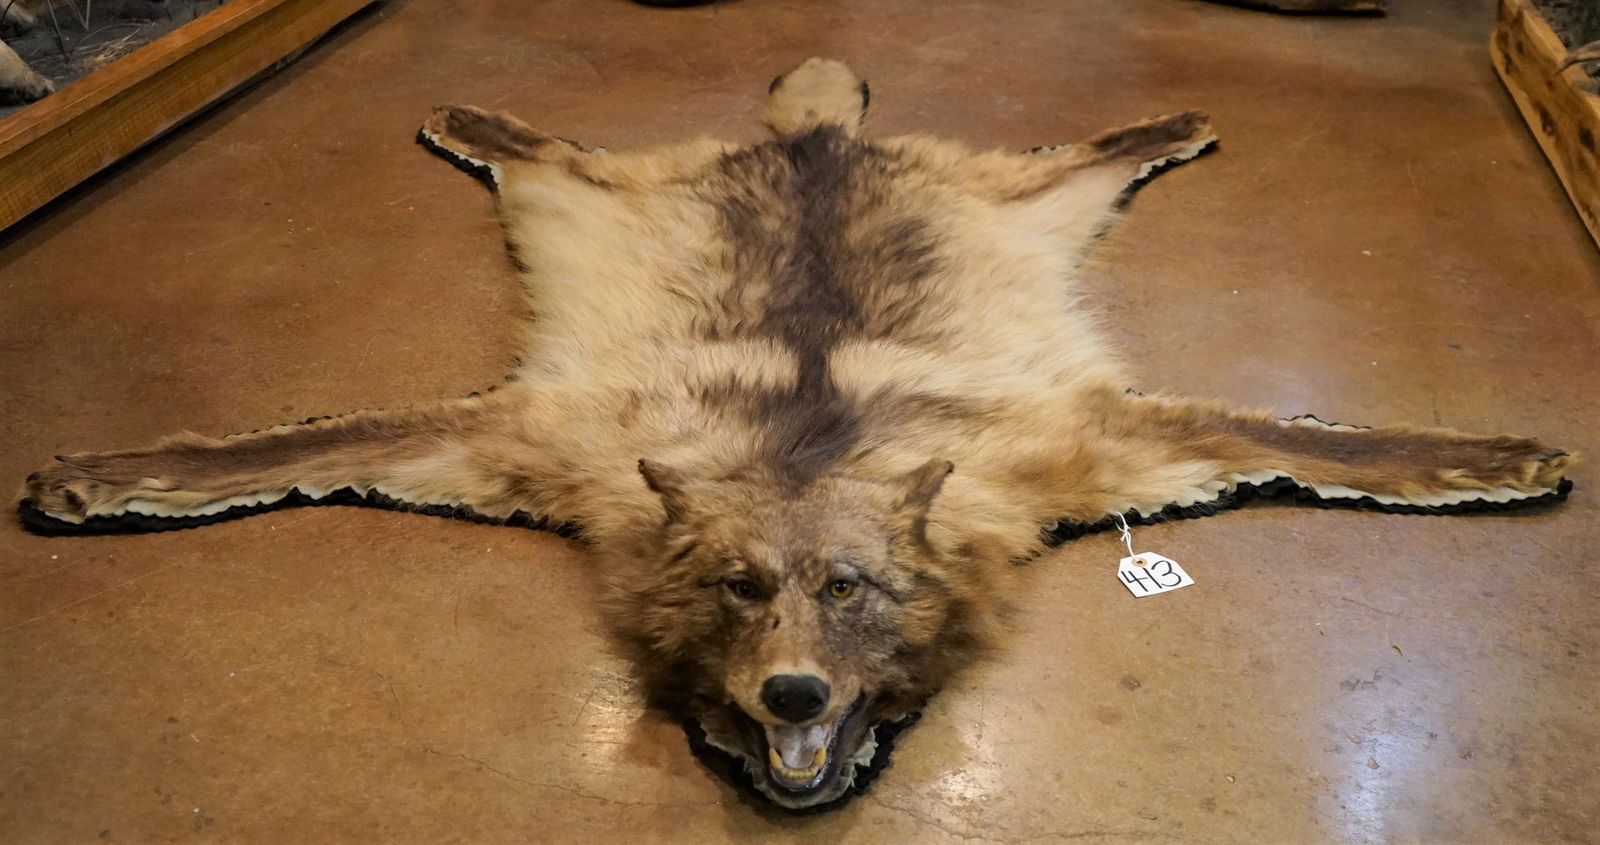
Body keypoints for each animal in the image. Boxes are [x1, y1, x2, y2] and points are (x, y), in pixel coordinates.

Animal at [19, 59, 1574, 810]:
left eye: (849, 590)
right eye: (738, 590)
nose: (793, 696)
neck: (804, 453)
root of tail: (813, 137)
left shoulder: (1090, 440)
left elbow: (1335, 442)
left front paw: (1501, 461)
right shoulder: (533, 436)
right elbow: (268, 454)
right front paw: (103, 473)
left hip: (1030, 208)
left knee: (1083, 157)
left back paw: (1169, 119)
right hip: (585, 202)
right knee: (549, 151)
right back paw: (477, 115)